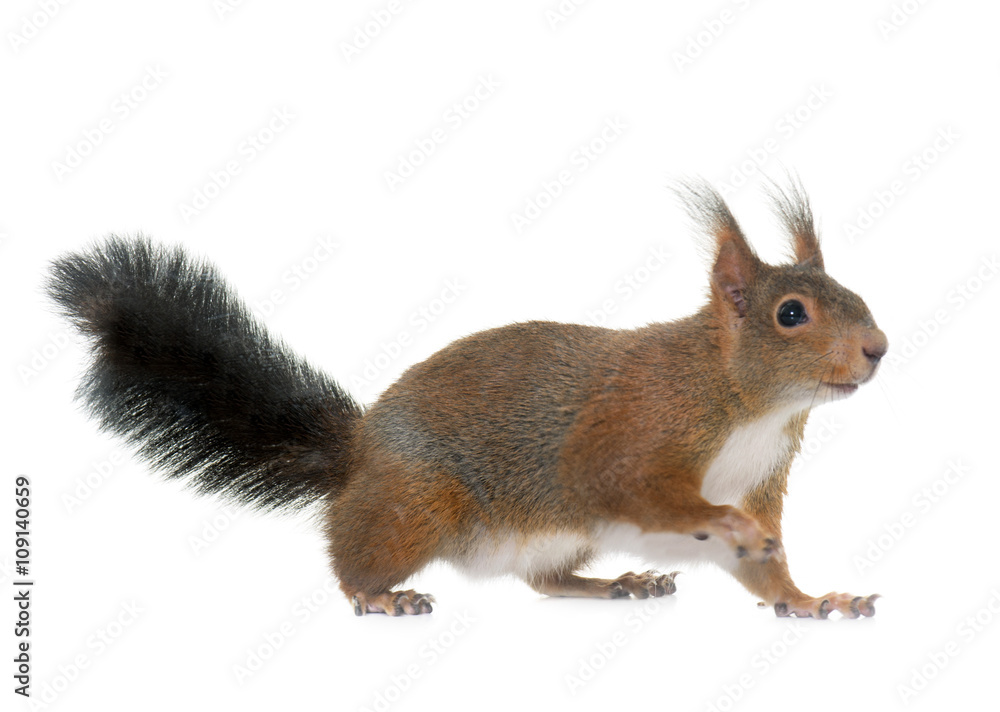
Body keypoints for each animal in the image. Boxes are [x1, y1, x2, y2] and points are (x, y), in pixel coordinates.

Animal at [48, 179, 887, 618]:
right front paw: (723, 526)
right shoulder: (638, 425)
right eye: (791, 315)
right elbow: (627, 485)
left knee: (546, 582)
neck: (751, 404)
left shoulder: (762, 477)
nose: (878, 349)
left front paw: (810, 598)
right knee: (350, 558)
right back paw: (378, 597)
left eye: (853, 294)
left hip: (556, 537)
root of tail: (358, 456)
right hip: (420, 503)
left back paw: (618, 580)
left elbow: (766, 572)